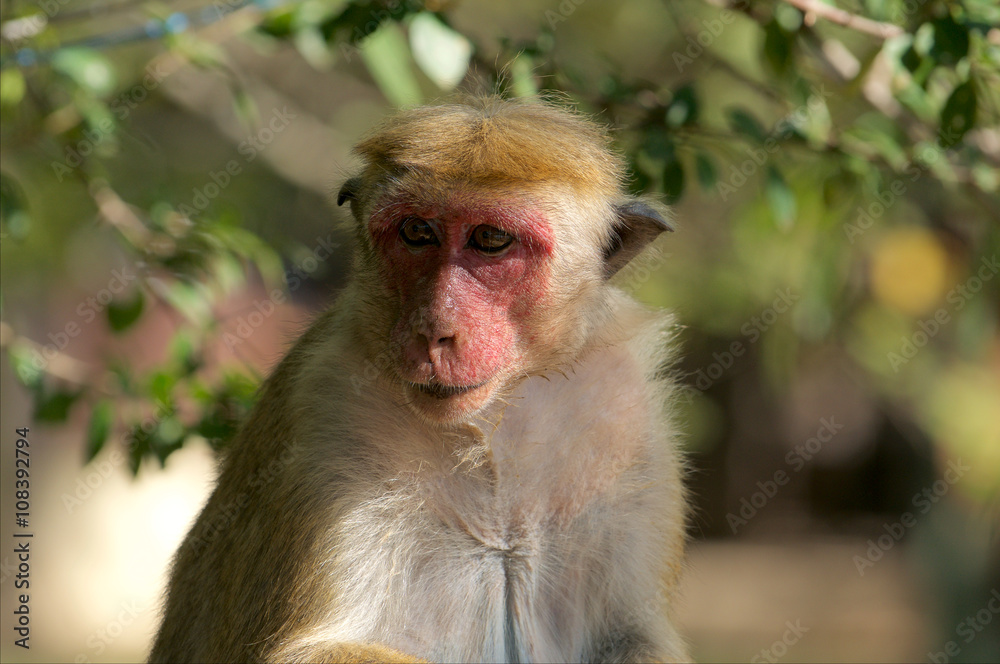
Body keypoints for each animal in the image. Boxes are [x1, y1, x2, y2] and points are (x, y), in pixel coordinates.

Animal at [149, 95, 688, 664]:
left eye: (491, 240)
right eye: (416, 232)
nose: (434, 329)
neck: (492, 429)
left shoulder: (626, 413)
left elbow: (632, 634)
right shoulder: (324, 414)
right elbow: (312, 651)